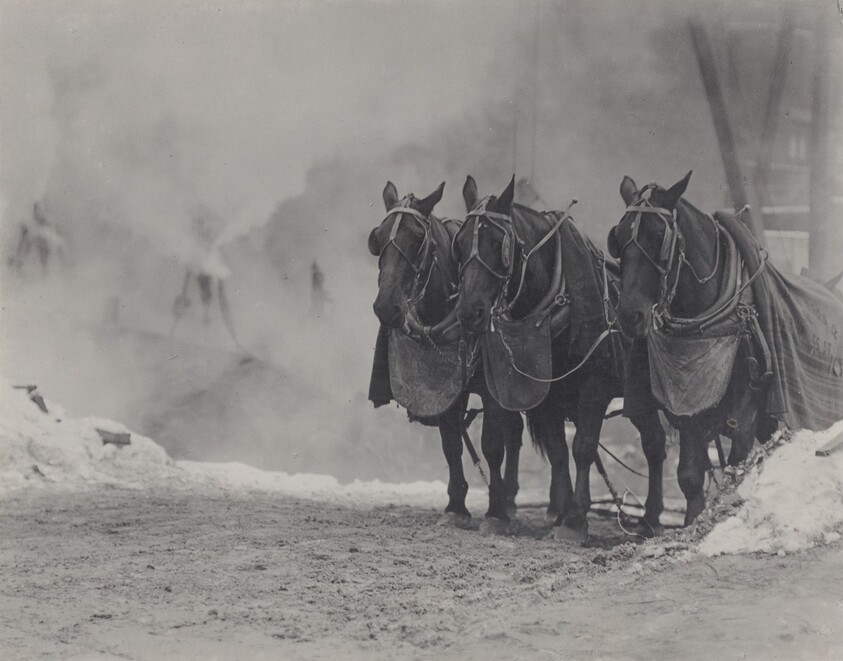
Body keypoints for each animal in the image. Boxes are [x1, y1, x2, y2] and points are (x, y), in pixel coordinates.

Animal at [367, 181, 524, 529]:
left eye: (417, 237)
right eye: (378, 238)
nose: (385, 306)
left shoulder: (494, 391)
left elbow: (492, 445)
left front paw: (495, 510)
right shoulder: (445, 390)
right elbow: (451, 442)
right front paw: (456, 505)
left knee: (514, 432)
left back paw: (509, 498)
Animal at [453, 175, 667, 541]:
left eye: (498, 242)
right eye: (462, 242)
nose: (470, 311)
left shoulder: (595, 387)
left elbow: (582, 446)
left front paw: (575, 520)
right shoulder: (547, 394)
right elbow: (557, 451)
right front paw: (560, 512)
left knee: (657, 444)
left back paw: (655, 515)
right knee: (654, 441)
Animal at [607, 172, 777, 525]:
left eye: (659, 236)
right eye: (618, 237)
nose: (629, 315)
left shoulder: (747, 406)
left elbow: (737, 464)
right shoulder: (685, 401)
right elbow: (689, 474)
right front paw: (691, 522)